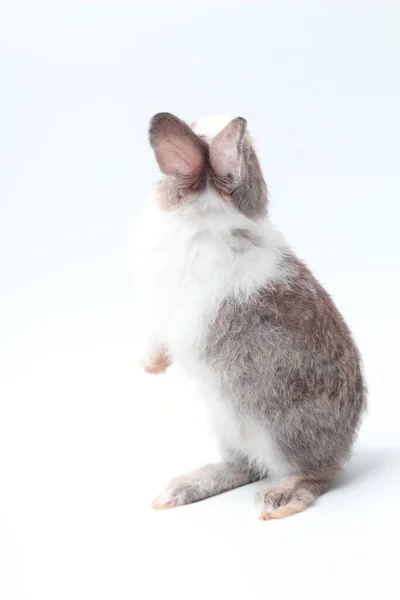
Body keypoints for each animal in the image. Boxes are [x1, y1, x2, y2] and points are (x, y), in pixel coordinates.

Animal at [134, 113, 366, 520]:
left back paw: (281, 498)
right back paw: (182, 489)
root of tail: (343, 444)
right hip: (226, 424)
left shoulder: (177, 313)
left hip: (279, 430)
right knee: (245, 466)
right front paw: (151, 367)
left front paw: (151, 366)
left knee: (317, 474)